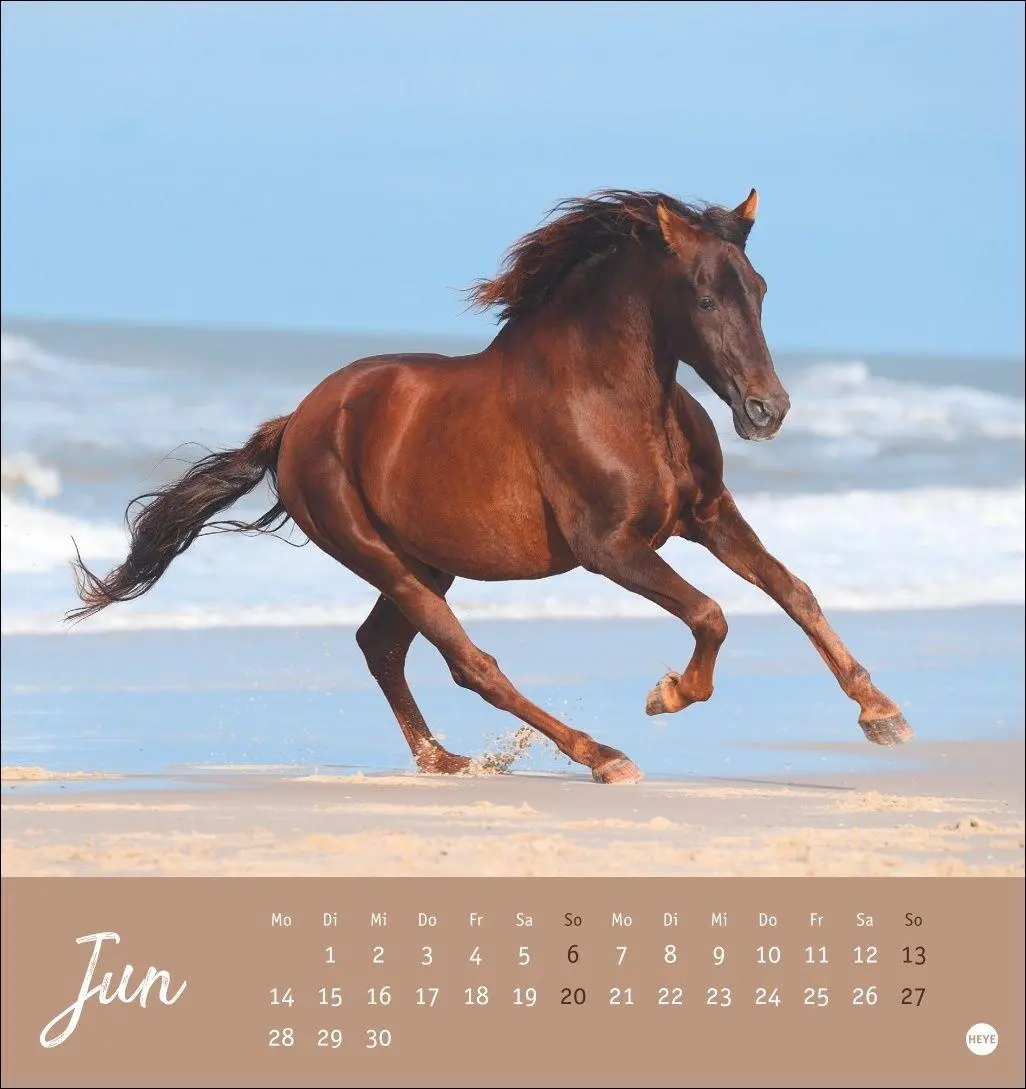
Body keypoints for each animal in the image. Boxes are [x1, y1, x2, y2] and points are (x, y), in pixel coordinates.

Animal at [69, 188, 913, 783]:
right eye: (705, 295)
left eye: (760, 289)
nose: (768, 410)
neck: (613, 394)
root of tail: (298, 421)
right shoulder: (611, 548)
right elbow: (712, 612)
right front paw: (667, 692)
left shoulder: (704, 513)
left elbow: (792, 589)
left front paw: (882, 713)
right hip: (382, 557)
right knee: (469, 663)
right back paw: (601, 755)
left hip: (428, 560)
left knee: (381, 647)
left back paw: (446, 760)